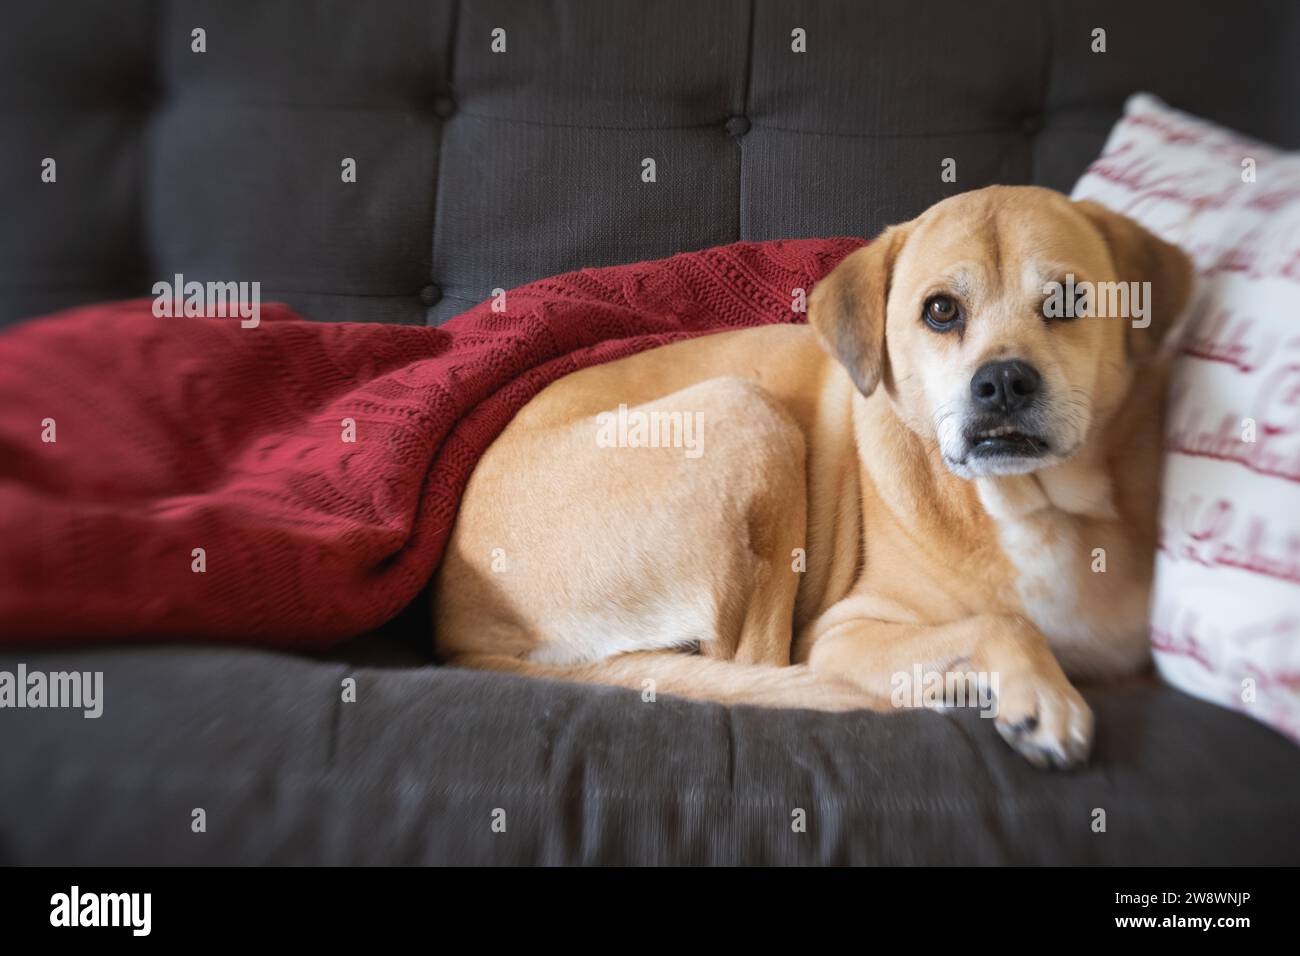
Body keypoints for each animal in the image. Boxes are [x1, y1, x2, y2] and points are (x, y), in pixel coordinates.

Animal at [431, 187, 1190, 770]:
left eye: (1065, 301)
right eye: (941, 310)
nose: (1002, 382)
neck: (1030, 504)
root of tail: (463, 632)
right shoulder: (843, 635)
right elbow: (1001, 623)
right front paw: (1042, 696)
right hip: (747, 412)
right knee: (757, 667)